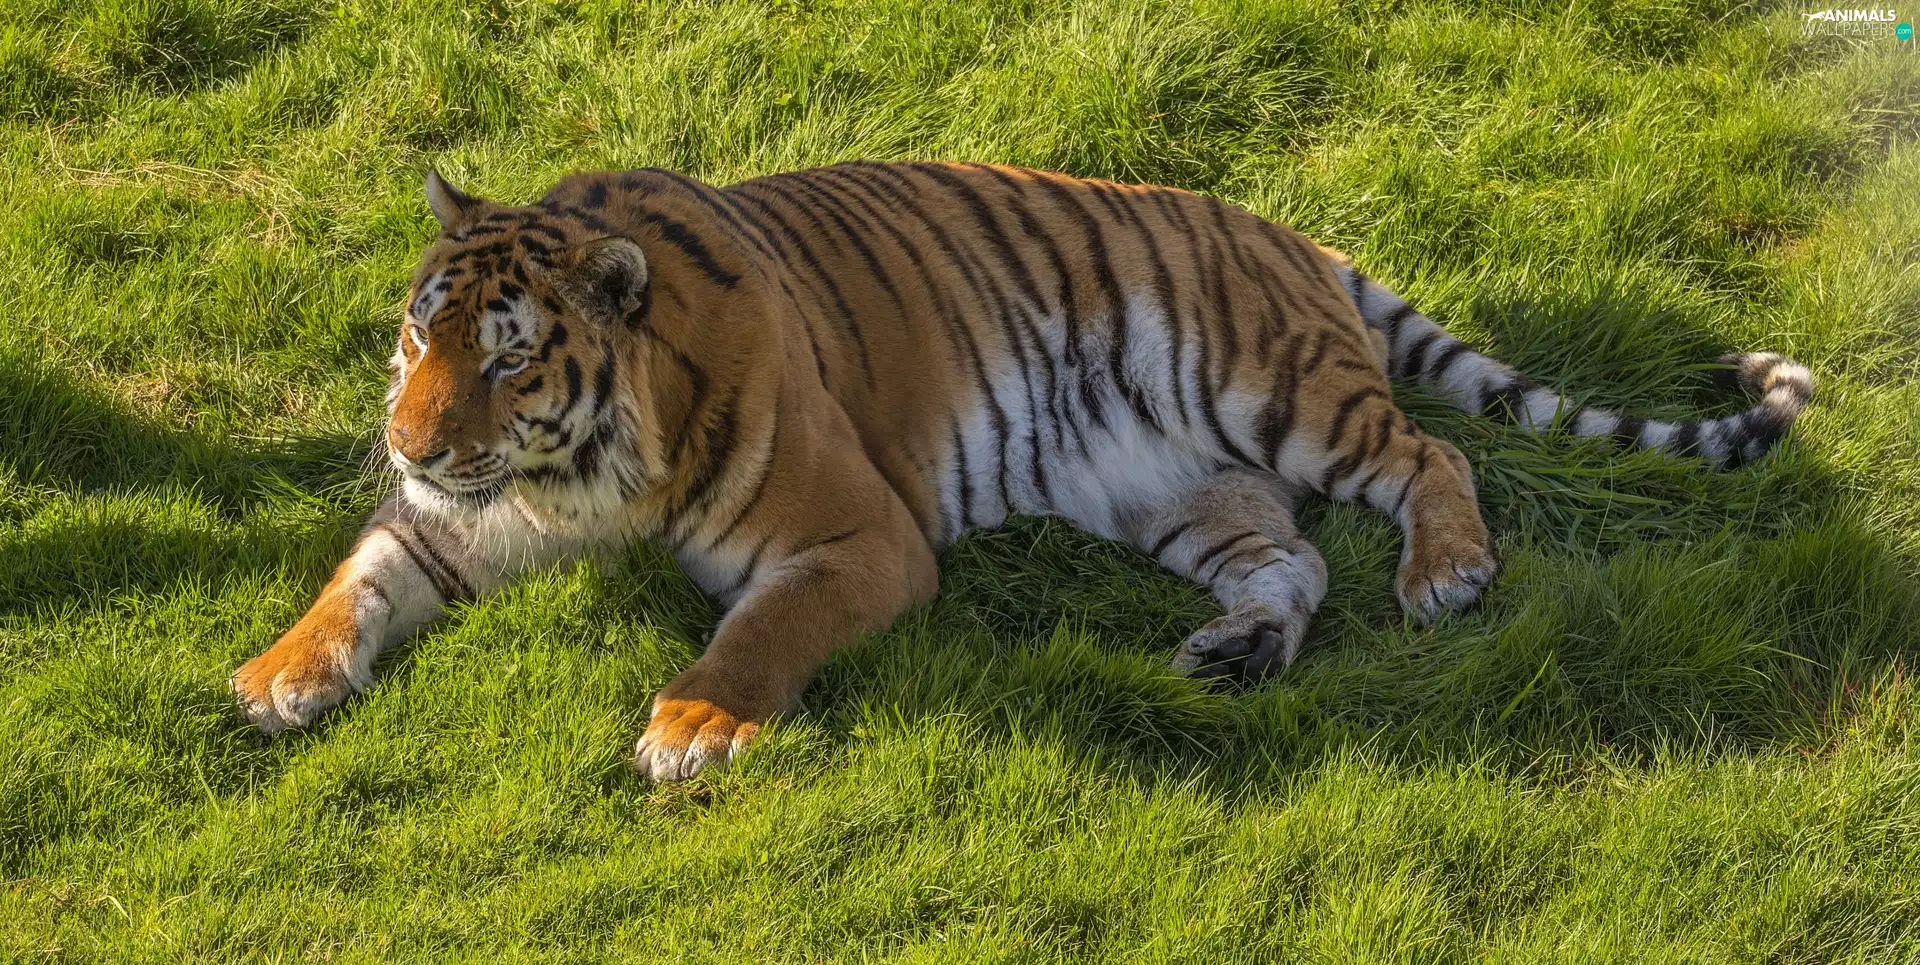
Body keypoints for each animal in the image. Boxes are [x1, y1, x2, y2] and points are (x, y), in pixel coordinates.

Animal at [231, 162, 1814, 781]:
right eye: (418, 335)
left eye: (510, 361)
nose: (409, 442)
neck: (569, 480)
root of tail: (1294, 237)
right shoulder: (453, 523)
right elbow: (362, 576)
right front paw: (279, 673)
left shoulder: (862, 539)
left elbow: (761, 630)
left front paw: (693, 722)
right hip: (1173, 489)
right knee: (1291, 554)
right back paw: (1237, 652)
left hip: (1274, 389)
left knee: (1429, 447)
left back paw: (1446, 570)